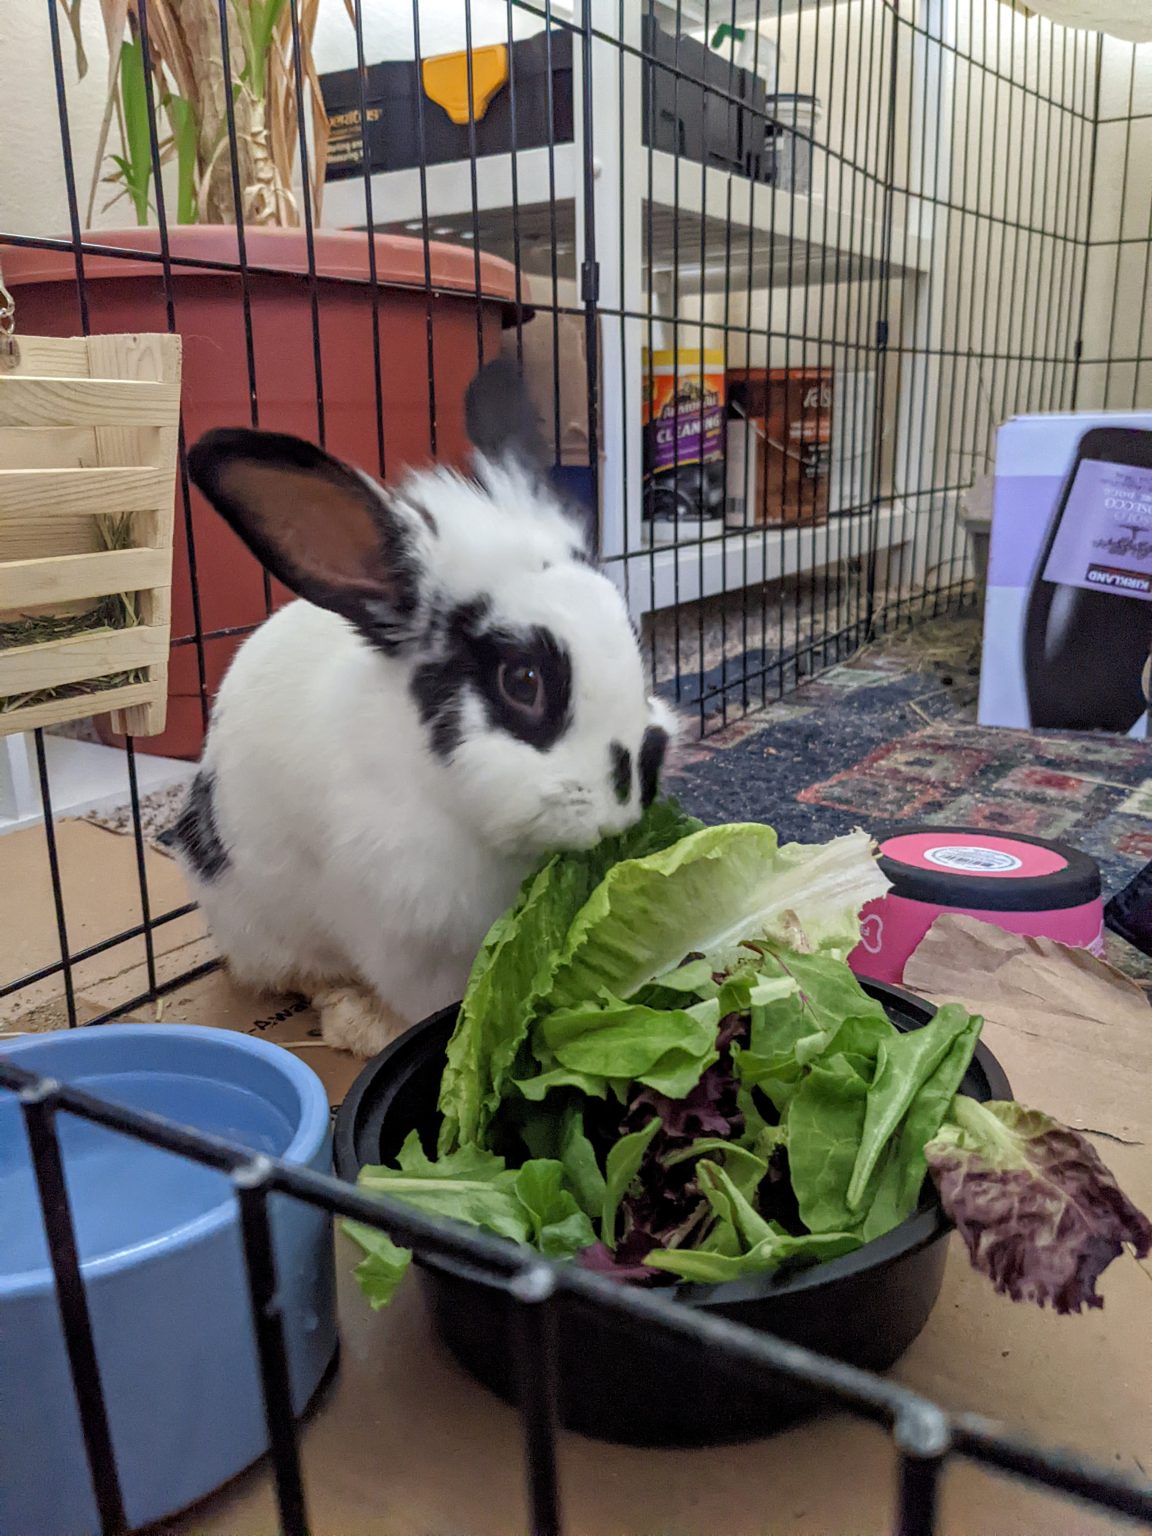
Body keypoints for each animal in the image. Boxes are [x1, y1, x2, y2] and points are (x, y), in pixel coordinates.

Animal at [169, 361, 676, 1058]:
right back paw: (349, 1014)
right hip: (254, 917)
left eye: (631, 635)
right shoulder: (403, 934)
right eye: (522, 681)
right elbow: (424, 1002)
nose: (633, 790)